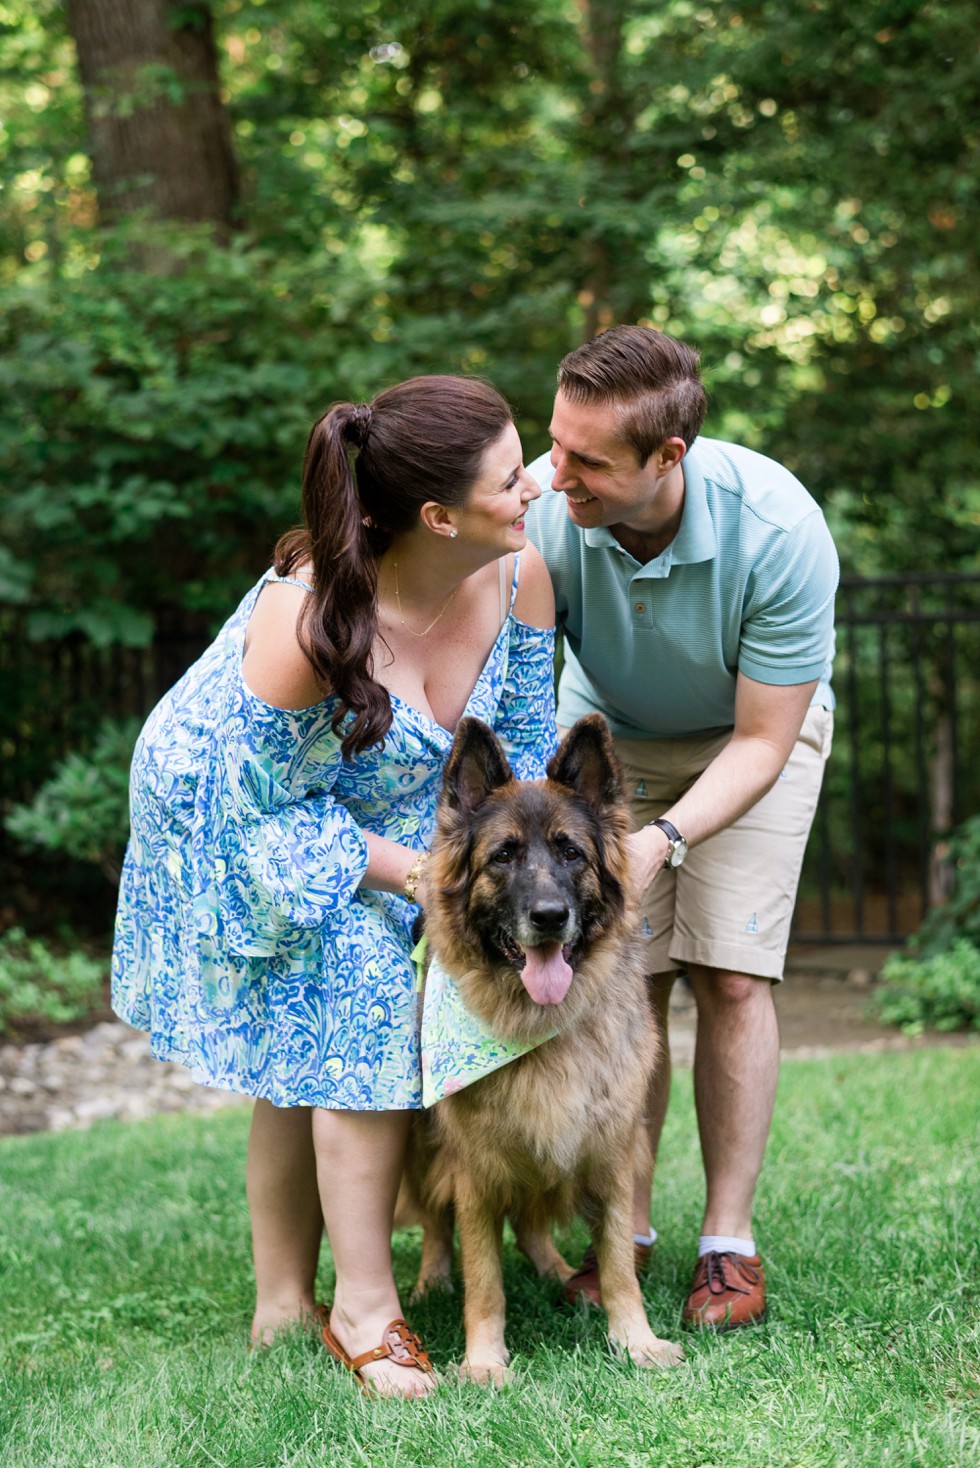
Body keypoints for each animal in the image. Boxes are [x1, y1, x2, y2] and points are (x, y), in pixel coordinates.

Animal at [401, 716, 686, 1379]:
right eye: (503, 856)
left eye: (570, 853)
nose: (551, 916)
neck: (539, 1026)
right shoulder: (474, 1168)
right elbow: (483, 1278)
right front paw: (484, 1361)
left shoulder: (611, 1154)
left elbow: (618, 1264)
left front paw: (635, 1341)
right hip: (425, 1144)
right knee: (436, 1219)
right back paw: (432, 1279)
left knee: (532, 1218)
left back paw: (556, 1271)